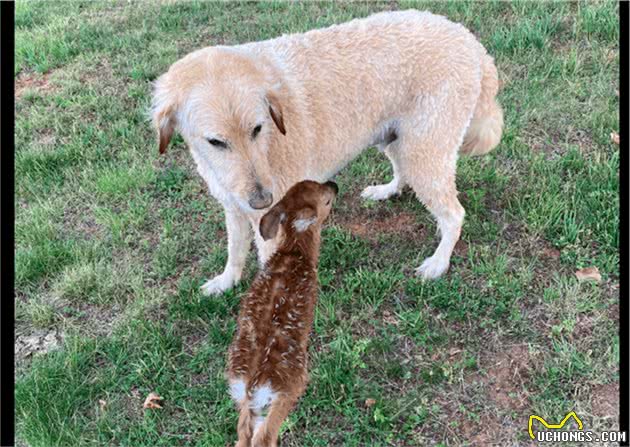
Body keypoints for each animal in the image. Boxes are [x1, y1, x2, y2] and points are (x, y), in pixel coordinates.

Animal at [152, 8, 504, 296]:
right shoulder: (234, 207)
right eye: (215, 142)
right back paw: (387, 190)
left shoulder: (272, 224)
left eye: (257, 129)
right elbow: (235, 250)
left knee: (454, 214)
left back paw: (439, 262)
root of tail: (470, 40)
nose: (262, 200)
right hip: (395, 139)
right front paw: (226, 281)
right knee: (403, 172)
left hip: (423, 151)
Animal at [225, 180, 338, 446]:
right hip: (290, 386)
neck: (294, 252)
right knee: (263, 435)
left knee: (243, 431)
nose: (334, 184)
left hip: (245, 402)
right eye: (326, 200)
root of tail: (252, 385)